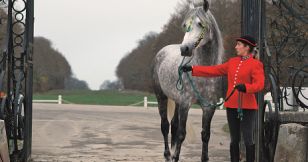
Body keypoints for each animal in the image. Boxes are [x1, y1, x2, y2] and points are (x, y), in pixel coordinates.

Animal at [151, 0, 224, 161]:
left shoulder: (209, 107)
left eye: (201, 24)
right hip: (161, 96)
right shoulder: (186, 103)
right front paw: (175, 157)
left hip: (176, 99)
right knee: (165, 126)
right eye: (185, 25)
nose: (184, 48)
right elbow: (181, 134)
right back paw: (168, 155)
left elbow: (205, 135)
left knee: (174, 125)